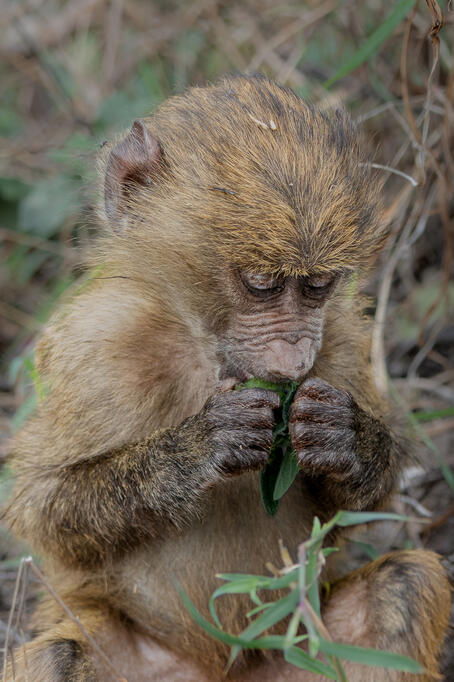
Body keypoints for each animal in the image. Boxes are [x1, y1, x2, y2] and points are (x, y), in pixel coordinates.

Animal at [3, 75, 450, 681]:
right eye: (261, 284)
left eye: (317, 286)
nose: (292, 359)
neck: (203, 347)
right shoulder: (95, 344)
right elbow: (42, 506)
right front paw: (198, 448)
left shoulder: (340, 339)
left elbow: (358, 510)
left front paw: (346, 437)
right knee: (59, 655)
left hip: (299, 643)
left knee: (403, 584)